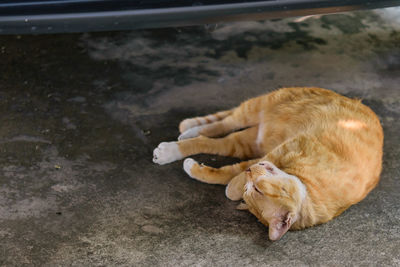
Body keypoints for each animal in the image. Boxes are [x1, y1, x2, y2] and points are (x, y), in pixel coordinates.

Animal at [152, 87, 382, 241]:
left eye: (256, 190)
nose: (251, 170)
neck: (310, 186)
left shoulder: (261, 155)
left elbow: (228, 177)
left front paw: (223, 181)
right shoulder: (285, 147)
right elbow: (232, 177)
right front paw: (234, 184)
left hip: (245, 142)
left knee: (215, 140)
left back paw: (180, 143)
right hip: (256, 107)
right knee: (225, 122)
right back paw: (186, 131)